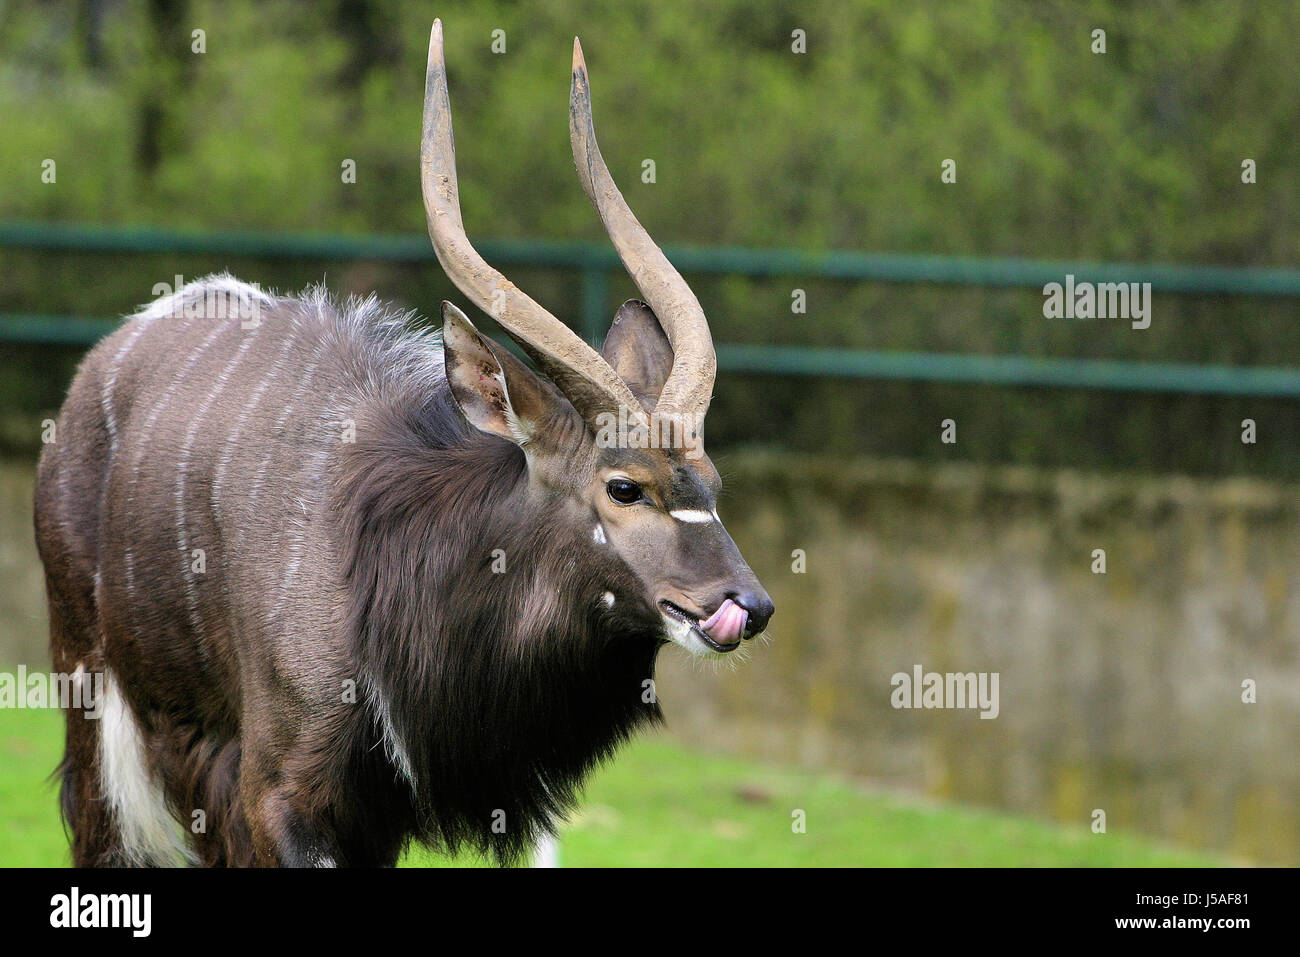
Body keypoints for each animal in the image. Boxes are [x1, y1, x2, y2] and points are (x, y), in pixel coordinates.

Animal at [35, 20, 769, 868]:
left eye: (712, 480)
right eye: (625, 487)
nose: (747, 605)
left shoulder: (369, 818)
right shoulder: (278, 794)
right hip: (101, 725)